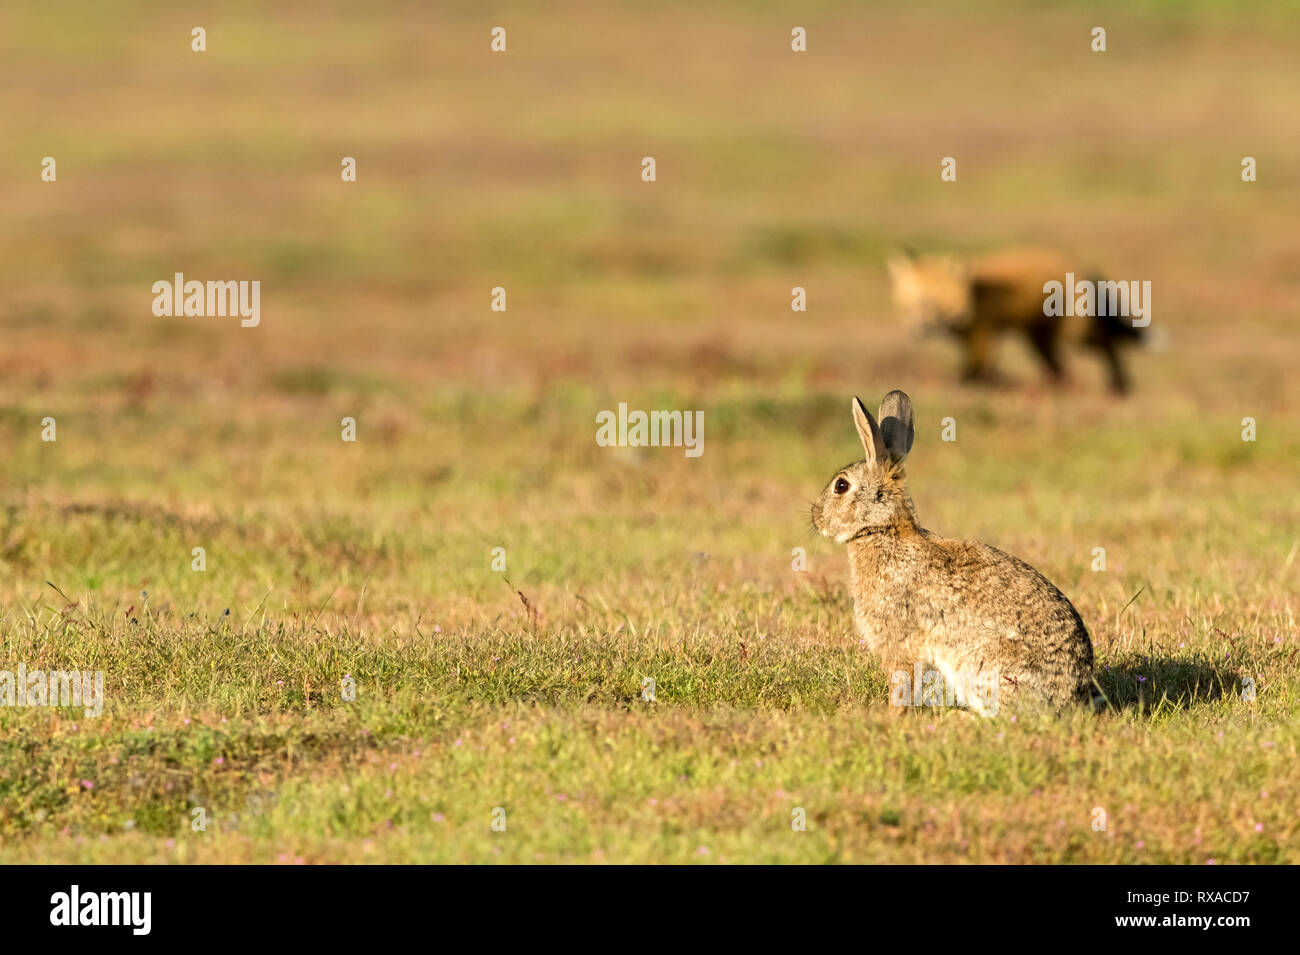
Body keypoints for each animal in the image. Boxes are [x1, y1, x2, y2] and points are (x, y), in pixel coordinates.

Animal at [811, 389, 1097, 717]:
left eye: (841, 486)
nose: (815, 517)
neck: (882, 530)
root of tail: (1069, 699)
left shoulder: (898, 640)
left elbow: (901, 682)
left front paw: (891, 716)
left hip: (979, 665)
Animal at [883, 250, 1149, 394]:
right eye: (910, 305)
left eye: (937, 305)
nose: (920, 330)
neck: (974, 293)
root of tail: (1082, 266)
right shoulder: (977, 339)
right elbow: (980, 371)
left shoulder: (982, 334)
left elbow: (972, 371)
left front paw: (964, 388)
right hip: (1040, 342)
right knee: (1061, 369)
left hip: (1075, 338)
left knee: (1108, 345)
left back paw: (1119, 386)